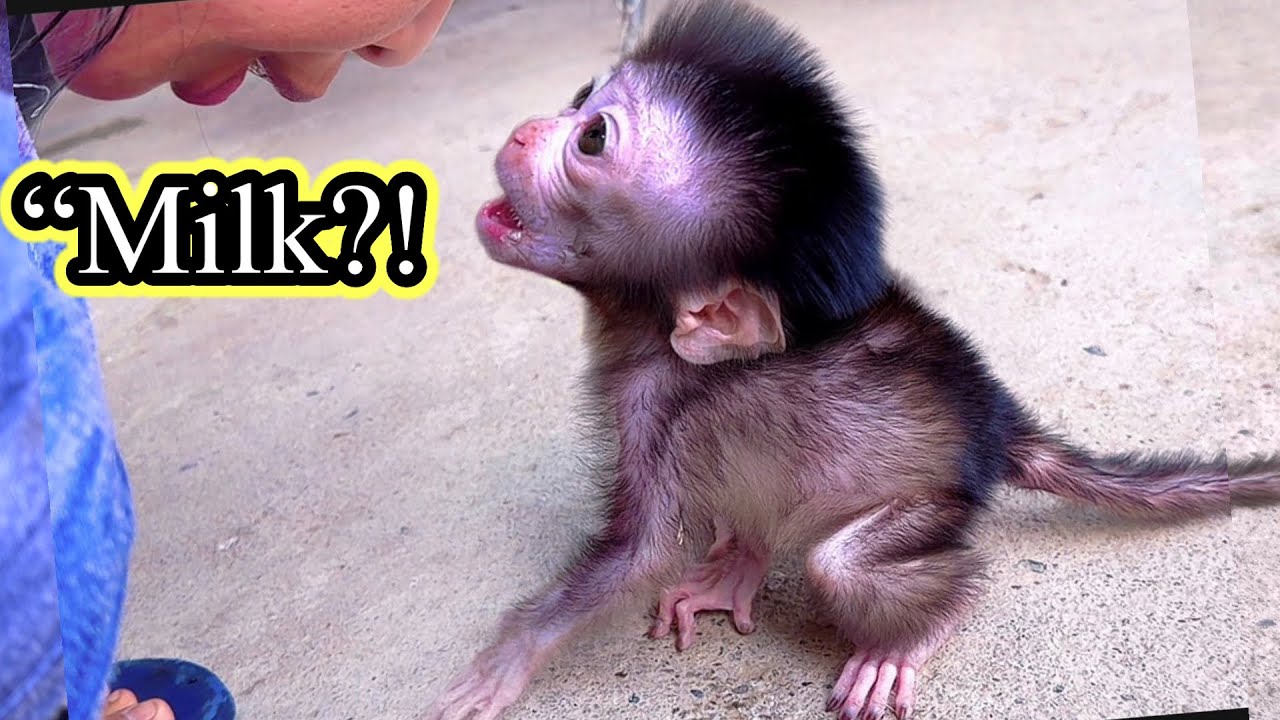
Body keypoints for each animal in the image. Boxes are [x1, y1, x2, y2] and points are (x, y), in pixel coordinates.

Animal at [427, 2, 1280, 719]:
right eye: (580, 95)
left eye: (593, 139)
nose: (526, 132)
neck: (647, 333)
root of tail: (994, 421)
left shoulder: (650, 408)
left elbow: (639, 555)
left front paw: (510, 657)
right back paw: (744, 562)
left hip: (936, 498)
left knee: (845, 566)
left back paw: (913, 633)